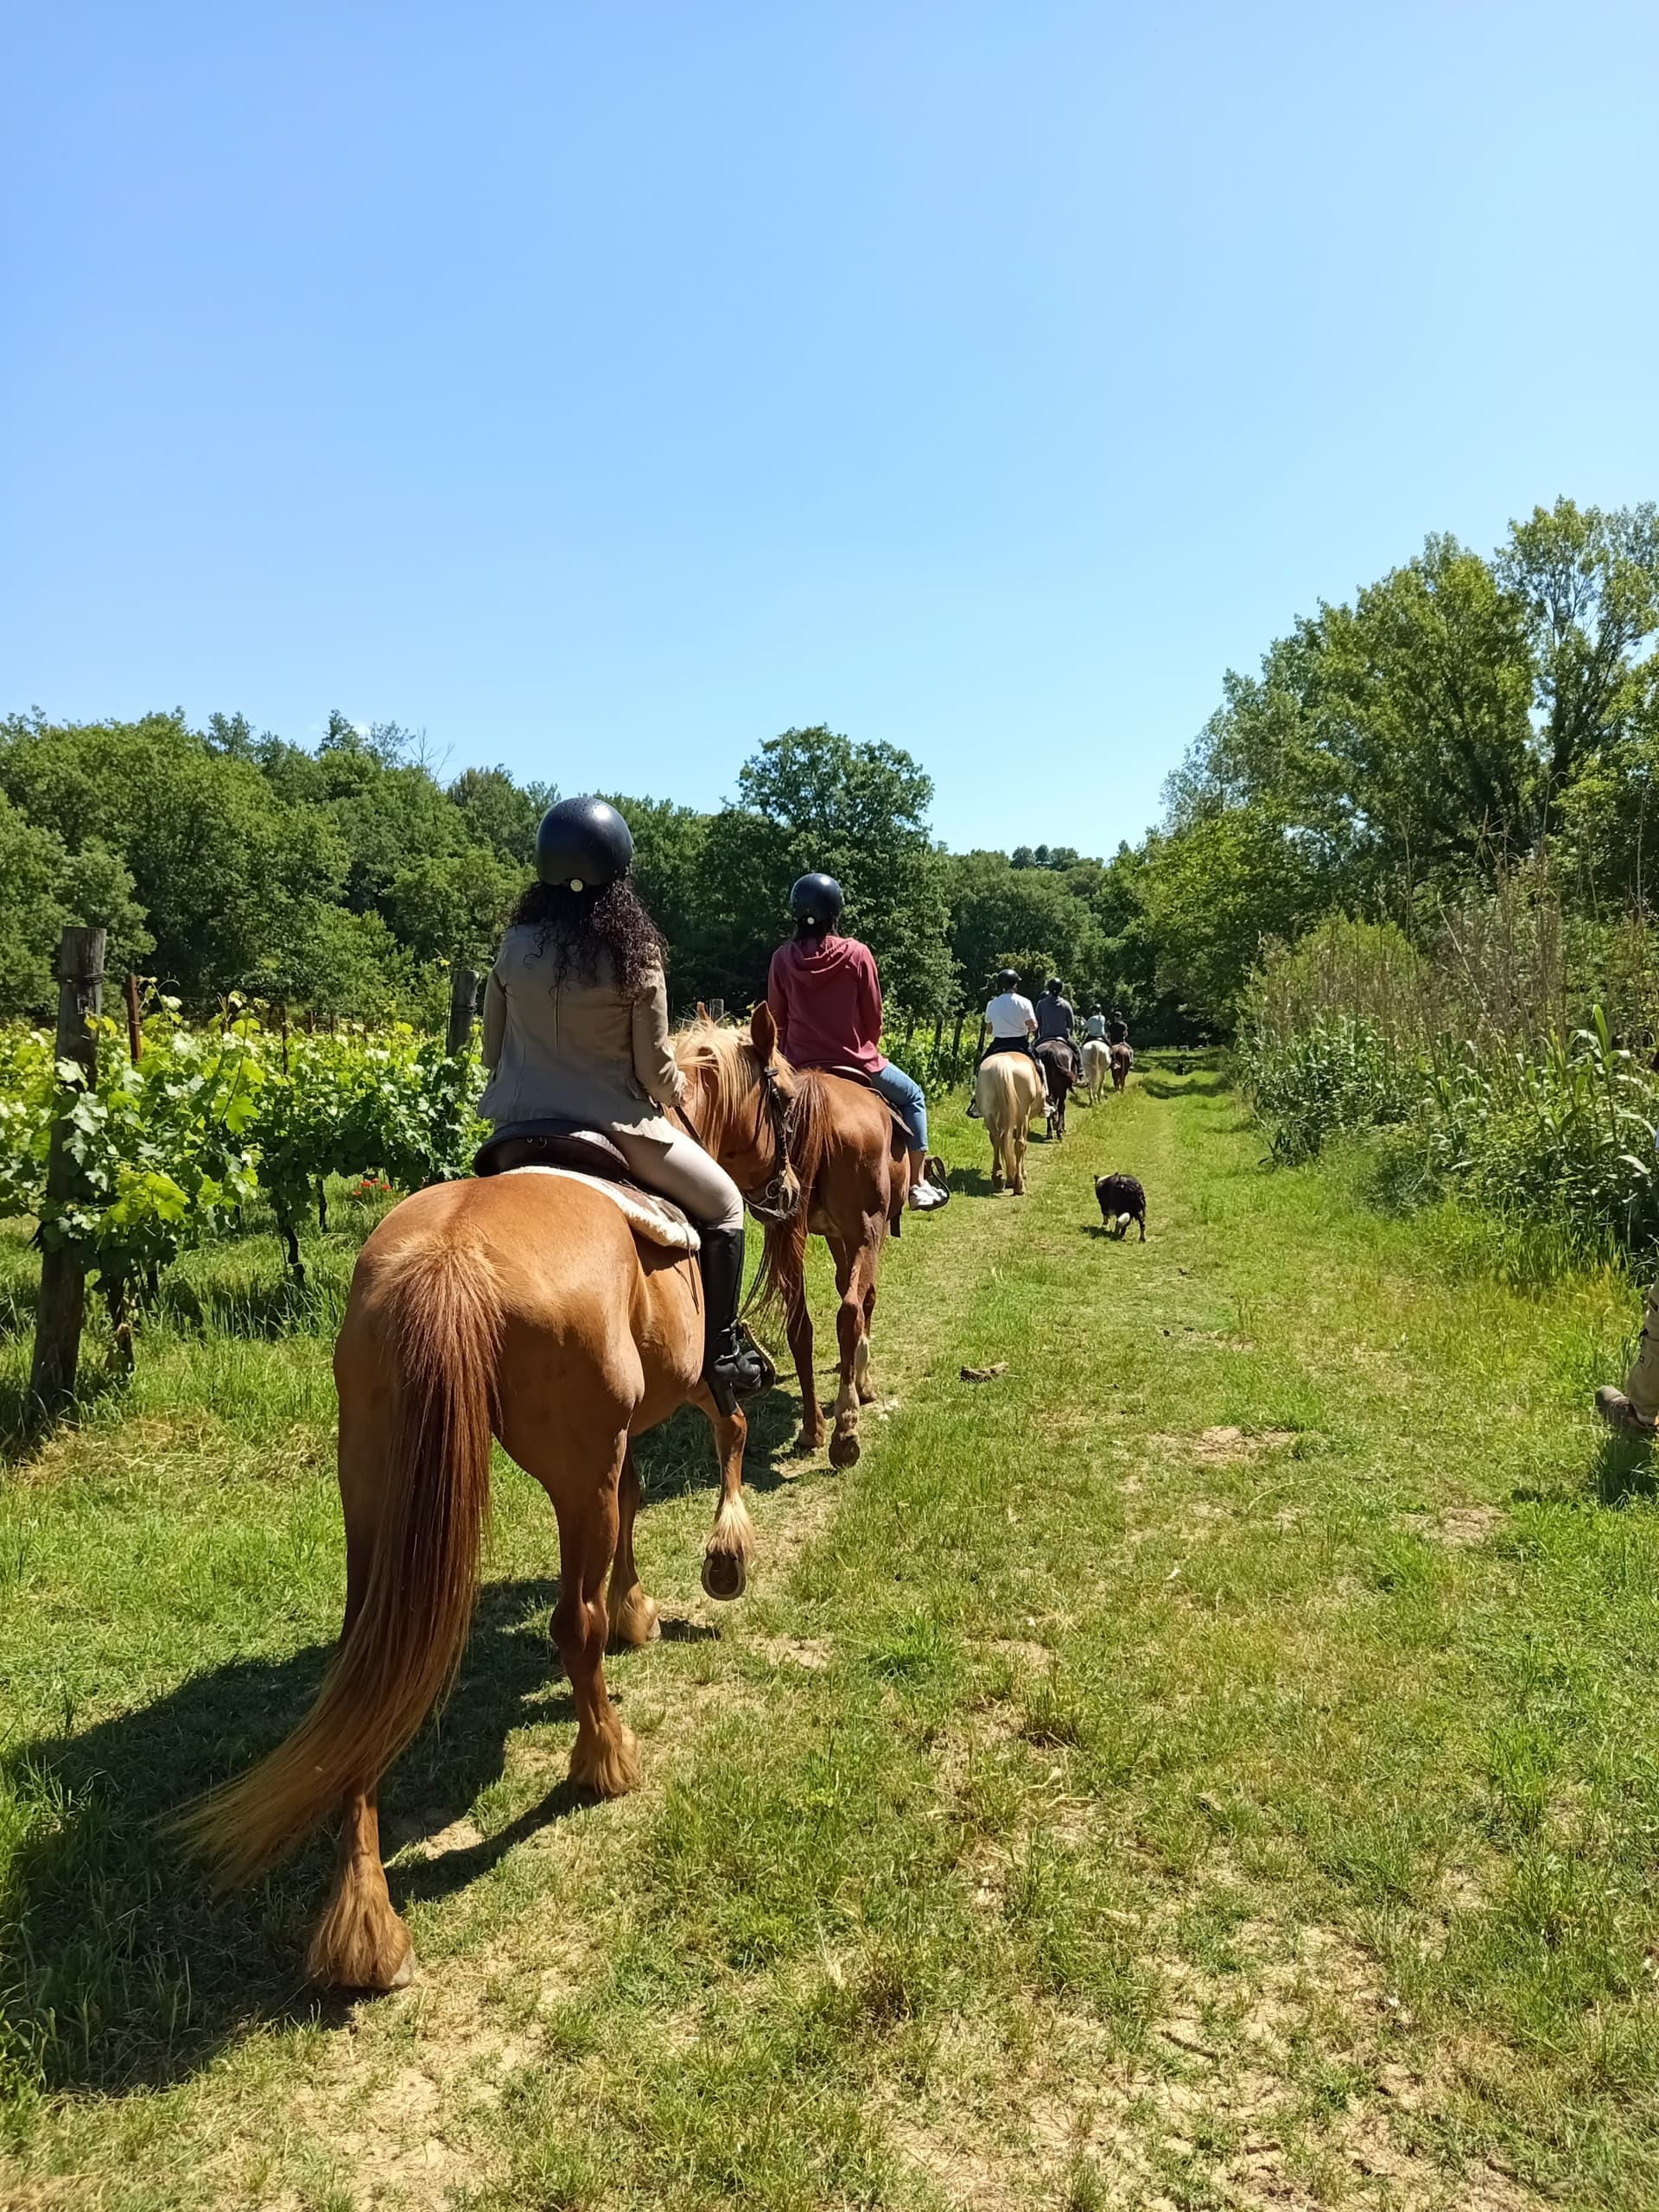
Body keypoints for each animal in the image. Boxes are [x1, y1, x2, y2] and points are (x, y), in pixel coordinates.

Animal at [175, 1008, 802, 1994]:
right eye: (779, 1094)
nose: (784, 1189)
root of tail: (450, 1257)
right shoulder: (686, 1385)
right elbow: (730, 1435)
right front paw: (724, 1560)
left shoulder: (621, 1435)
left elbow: (637, 1499)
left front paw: (642, 1606)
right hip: (568, 1469)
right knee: (570, 1625)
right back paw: (604, 1760)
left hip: (376, 1491)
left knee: (368, 1670)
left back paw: (365, 1919)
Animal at [750, 1071, 912, 1470]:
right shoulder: (863, 1236)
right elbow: (865, 1297)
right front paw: (862, 1380)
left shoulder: (835, 1235)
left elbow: (842, 1284)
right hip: (867, 1229)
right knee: (850, 1311)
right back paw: (846, 1430)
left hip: (790, 1232)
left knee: (800, 1326)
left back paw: (812, 1430)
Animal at [974, 1050, 1046, 1194]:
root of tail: (1003, 1065)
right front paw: (1021, 1173)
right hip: (1022, 1114)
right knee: (1019, 1144)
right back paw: (1019, 1185)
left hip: (989, 1113)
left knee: (996, 1139)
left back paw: (998, 1177)